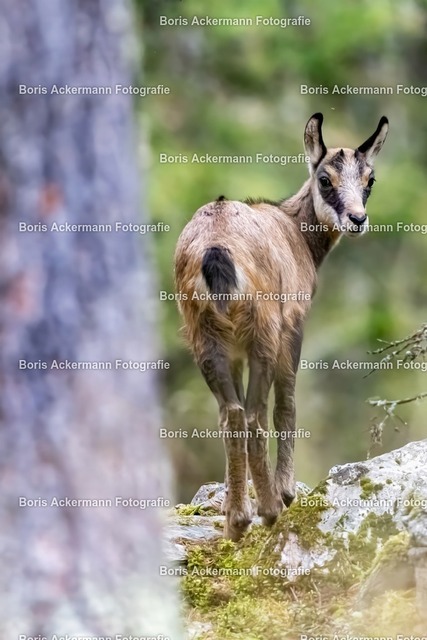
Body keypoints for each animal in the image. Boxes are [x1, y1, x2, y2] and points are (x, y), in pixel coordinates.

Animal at [174, 113, 388, 541]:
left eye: (370, 178)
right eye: (325, 178)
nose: (357, 219)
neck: (294, 233)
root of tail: (214, 250)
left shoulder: (233, 351)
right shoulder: (293, 324)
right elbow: (287, 404)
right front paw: (287, 491)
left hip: (204, 336)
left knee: (232, 413)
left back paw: (237, 521)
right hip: (264, 331)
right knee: (256, 412)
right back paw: (271, 508)